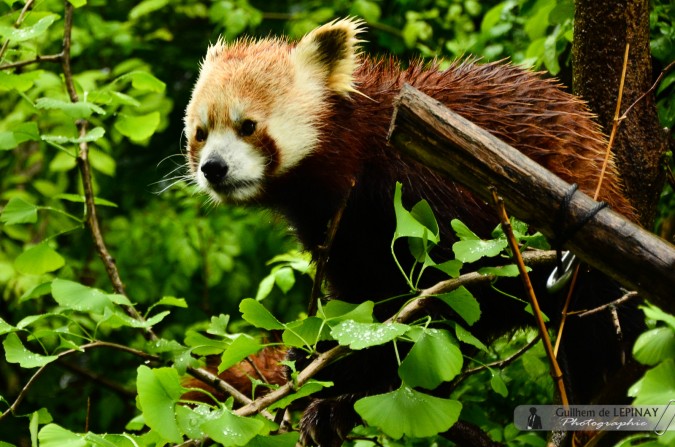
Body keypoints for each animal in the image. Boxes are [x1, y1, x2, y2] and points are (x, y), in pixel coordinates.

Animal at [184, 17, 640, 447]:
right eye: (200, 133)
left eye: (247, 126)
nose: (213, 168)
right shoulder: (343, 236)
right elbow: (366, 304)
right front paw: (324, 364)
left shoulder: (434, 195)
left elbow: (447, 304)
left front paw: (349, 397)